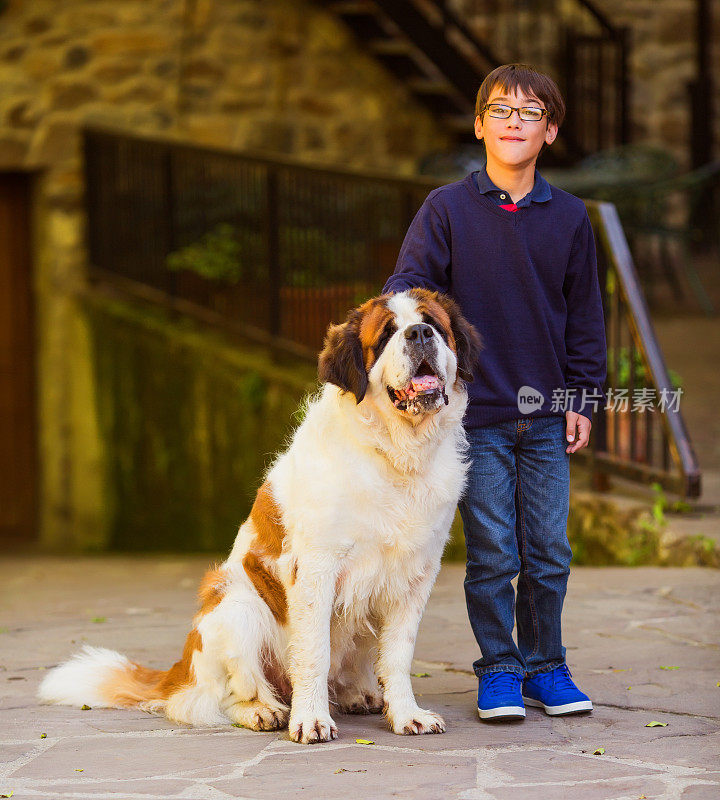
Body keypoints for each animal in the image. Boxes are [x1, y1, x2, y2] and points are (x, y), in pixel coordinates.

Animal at [38, 286, 478, 744]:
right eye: (389, 333)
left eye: (433, 323)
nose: (419, 333)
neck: (395, 456)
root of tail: (182, 668)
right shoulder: (315, 569)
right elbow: (313, 653)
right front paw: (311, 720)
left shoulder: (416, 576)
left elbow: (398, 655)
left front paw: (407, 714)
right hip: (236, 607)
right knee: (213, 699)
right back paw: (264, 710)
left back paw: (360, 695)